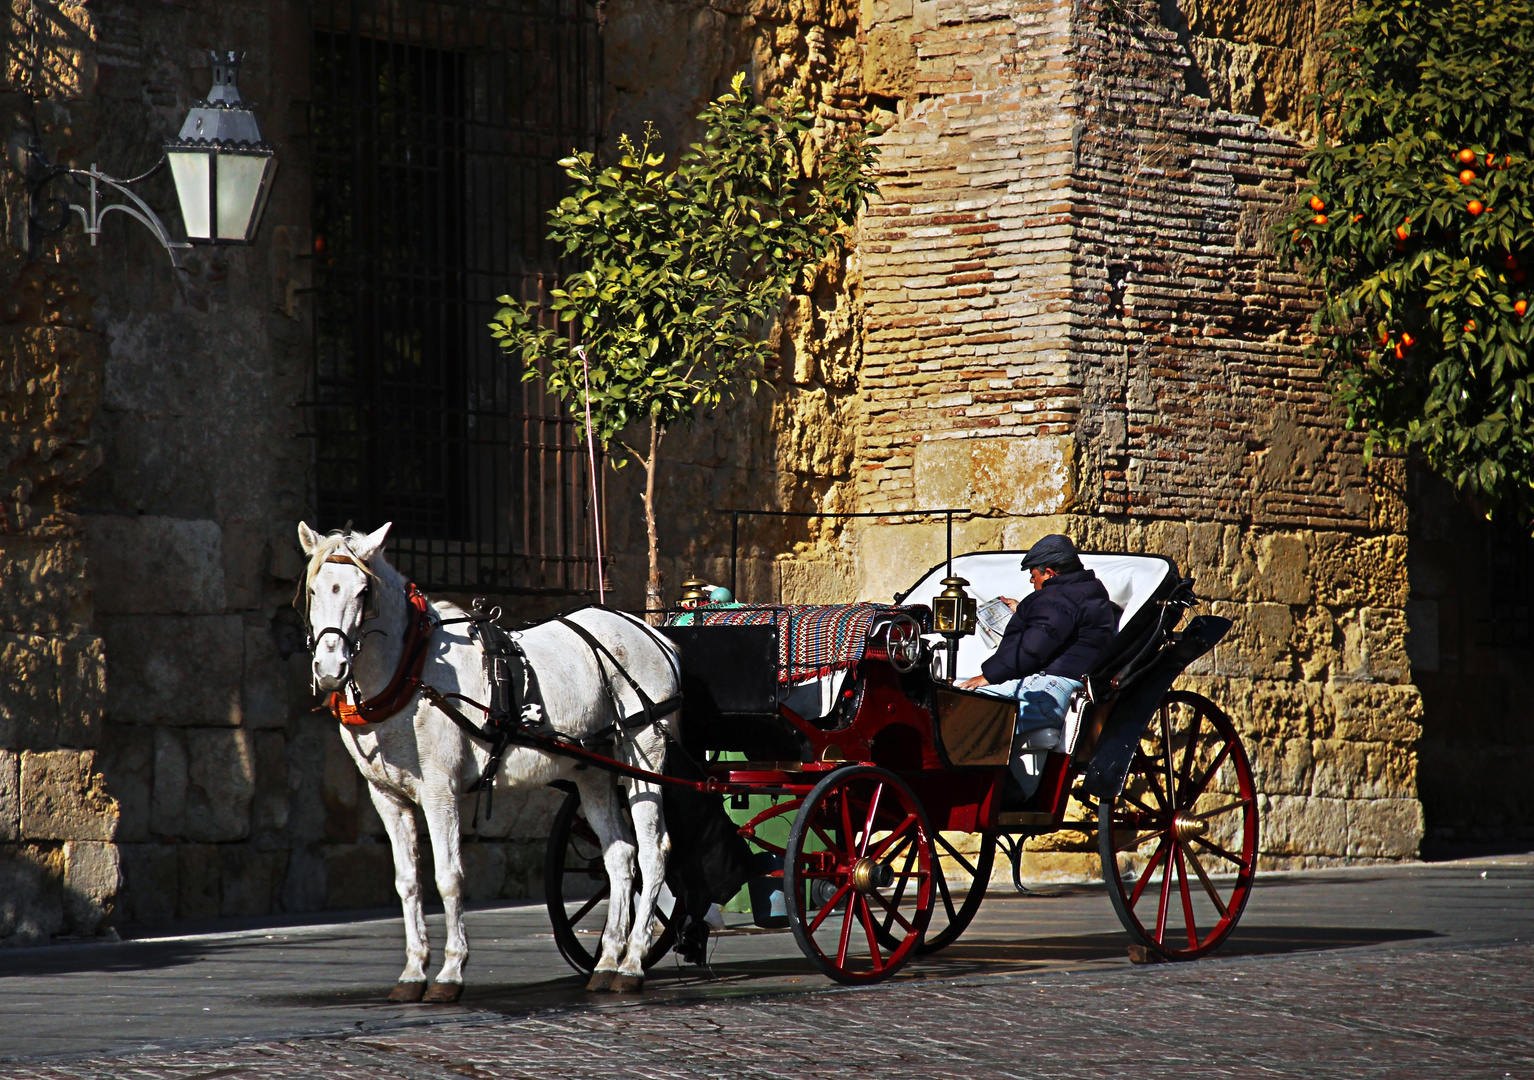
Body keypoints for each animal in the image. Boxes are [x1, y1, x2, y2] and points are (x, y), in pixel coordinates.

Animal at [297, 518, 678, 1000]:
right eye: (314, 591)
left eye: (363, 592)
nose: (330, 669)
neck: (411, 670)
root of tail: (652, 633)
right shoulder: (386, 796)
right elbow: (407, 881)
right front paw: (413, 970)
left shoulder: (440, 790)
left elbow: (448, 876)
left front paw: (450, 971)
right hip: (592, 768)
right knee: (620, 856)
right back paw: (608, 960)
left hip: (644, 757)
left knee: (652, 852)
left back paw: (632, 962)